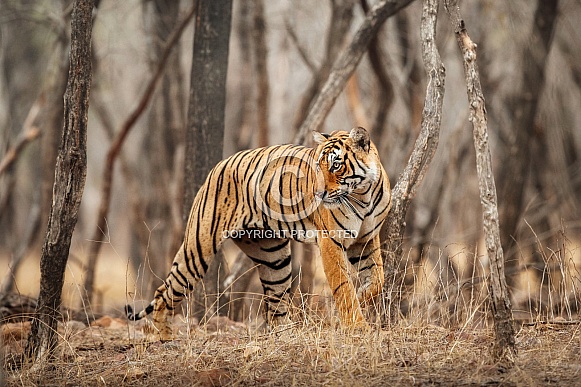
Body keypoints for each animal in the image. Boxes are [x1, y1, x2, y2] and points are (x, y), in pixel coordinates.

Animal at [125, 127, 390, 340]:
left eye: (336, 165)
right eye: (318, 166)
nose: (318, 194)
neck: (363, 195)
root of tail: (219, 164)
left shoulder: (366, 240)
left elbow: (378, 279)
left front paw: (363, 295)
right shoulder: (331, 242)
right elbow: (342, 286)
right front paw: (357, 326)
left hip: (274, 259)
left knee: (275, 306)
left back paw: (286, 337)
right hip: (198, 249)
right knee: (165, 291)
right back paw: (166, 338)